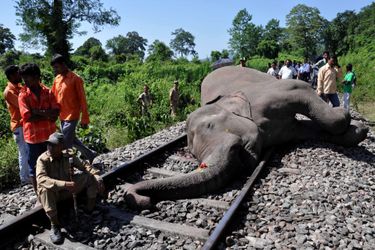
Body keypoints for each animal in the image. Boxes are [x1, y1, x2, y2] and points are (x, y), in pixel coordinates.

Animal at [125, 66, 368, 209]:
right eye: (192, 155)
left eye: (209, 126)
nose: (137, 197)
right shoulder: (283, 130)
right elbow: (305, 129)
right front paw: (358, 129)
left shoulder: (276, 92)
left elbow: (303, 90)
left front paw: (352, 121)